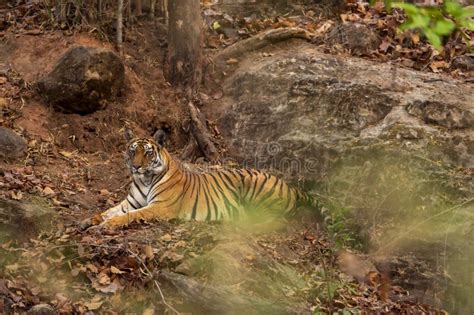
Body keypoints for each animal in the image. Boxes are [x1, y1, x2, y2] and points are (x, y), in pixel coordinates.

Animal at [80, 128, 314, 230]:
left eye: (147, 152)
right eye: (132, 151)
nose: (136, 166)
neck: (144, 180)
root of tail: (291, 187)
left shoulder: (160, 207)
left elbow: (131, 215)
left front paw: (108, 224)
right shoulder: (130, 203)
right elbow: (109, 210)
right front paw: (90, 220)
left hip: (258, 189)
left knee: (274, 219)